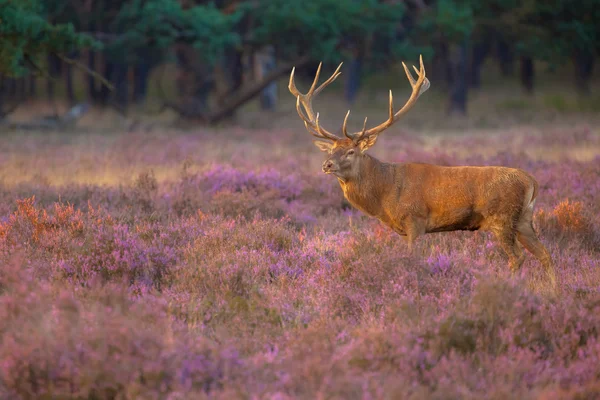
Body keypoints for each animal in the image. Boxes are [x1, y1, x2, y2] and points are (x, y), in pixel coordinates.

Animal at [290, 56, 556, 288]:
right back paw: (553, 291)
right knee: (545, 254)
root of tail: (532, 181)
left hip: (502, 218)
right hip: (523, 219)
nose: (327, 165)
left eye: (351, 152)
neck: (385, 194)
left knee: (518, 257)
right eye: (332, 149)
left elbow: (413, 259)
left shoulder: (415, 220)